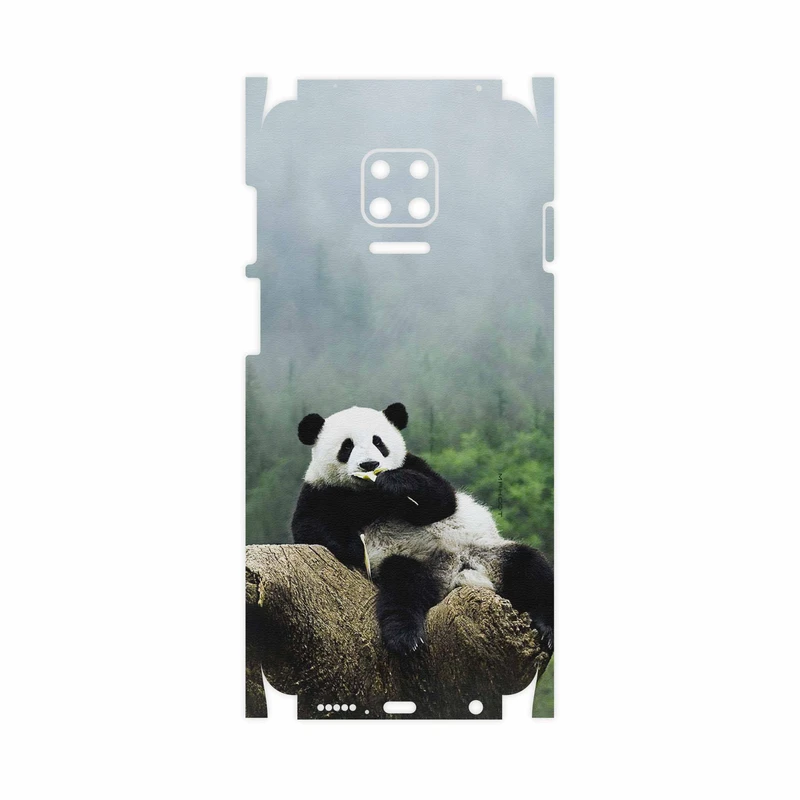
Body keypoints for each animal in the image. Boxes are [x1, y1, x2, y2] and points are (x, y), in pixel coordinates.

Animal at [291, 403, 554, 656]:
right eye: (347, 446)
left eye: (379, 442)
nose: (369, 464)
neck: (368, 493)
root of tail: (456, 573)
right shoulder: (321, 491)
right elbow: (309, 527)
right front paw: (356, 547)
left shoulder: (415, 465)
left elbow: (442, 500)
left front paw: (394, 483)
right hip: (411, 561)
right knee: (403, 588)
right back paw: (405, 637)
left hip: (488, 553)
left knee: (531, 568)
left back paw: (548, 628)